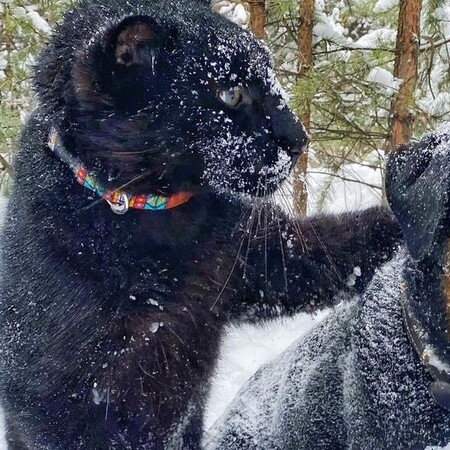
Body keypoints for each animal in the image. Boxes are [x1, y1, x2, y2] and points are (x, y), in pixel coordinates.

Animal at [0, 1, 400, 448]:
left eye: (271, 79)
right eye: (231, 93)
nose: (299, 139)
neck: (160, 221)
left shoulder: (262, 259)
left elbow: (341, 244)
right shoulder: (55, 403)